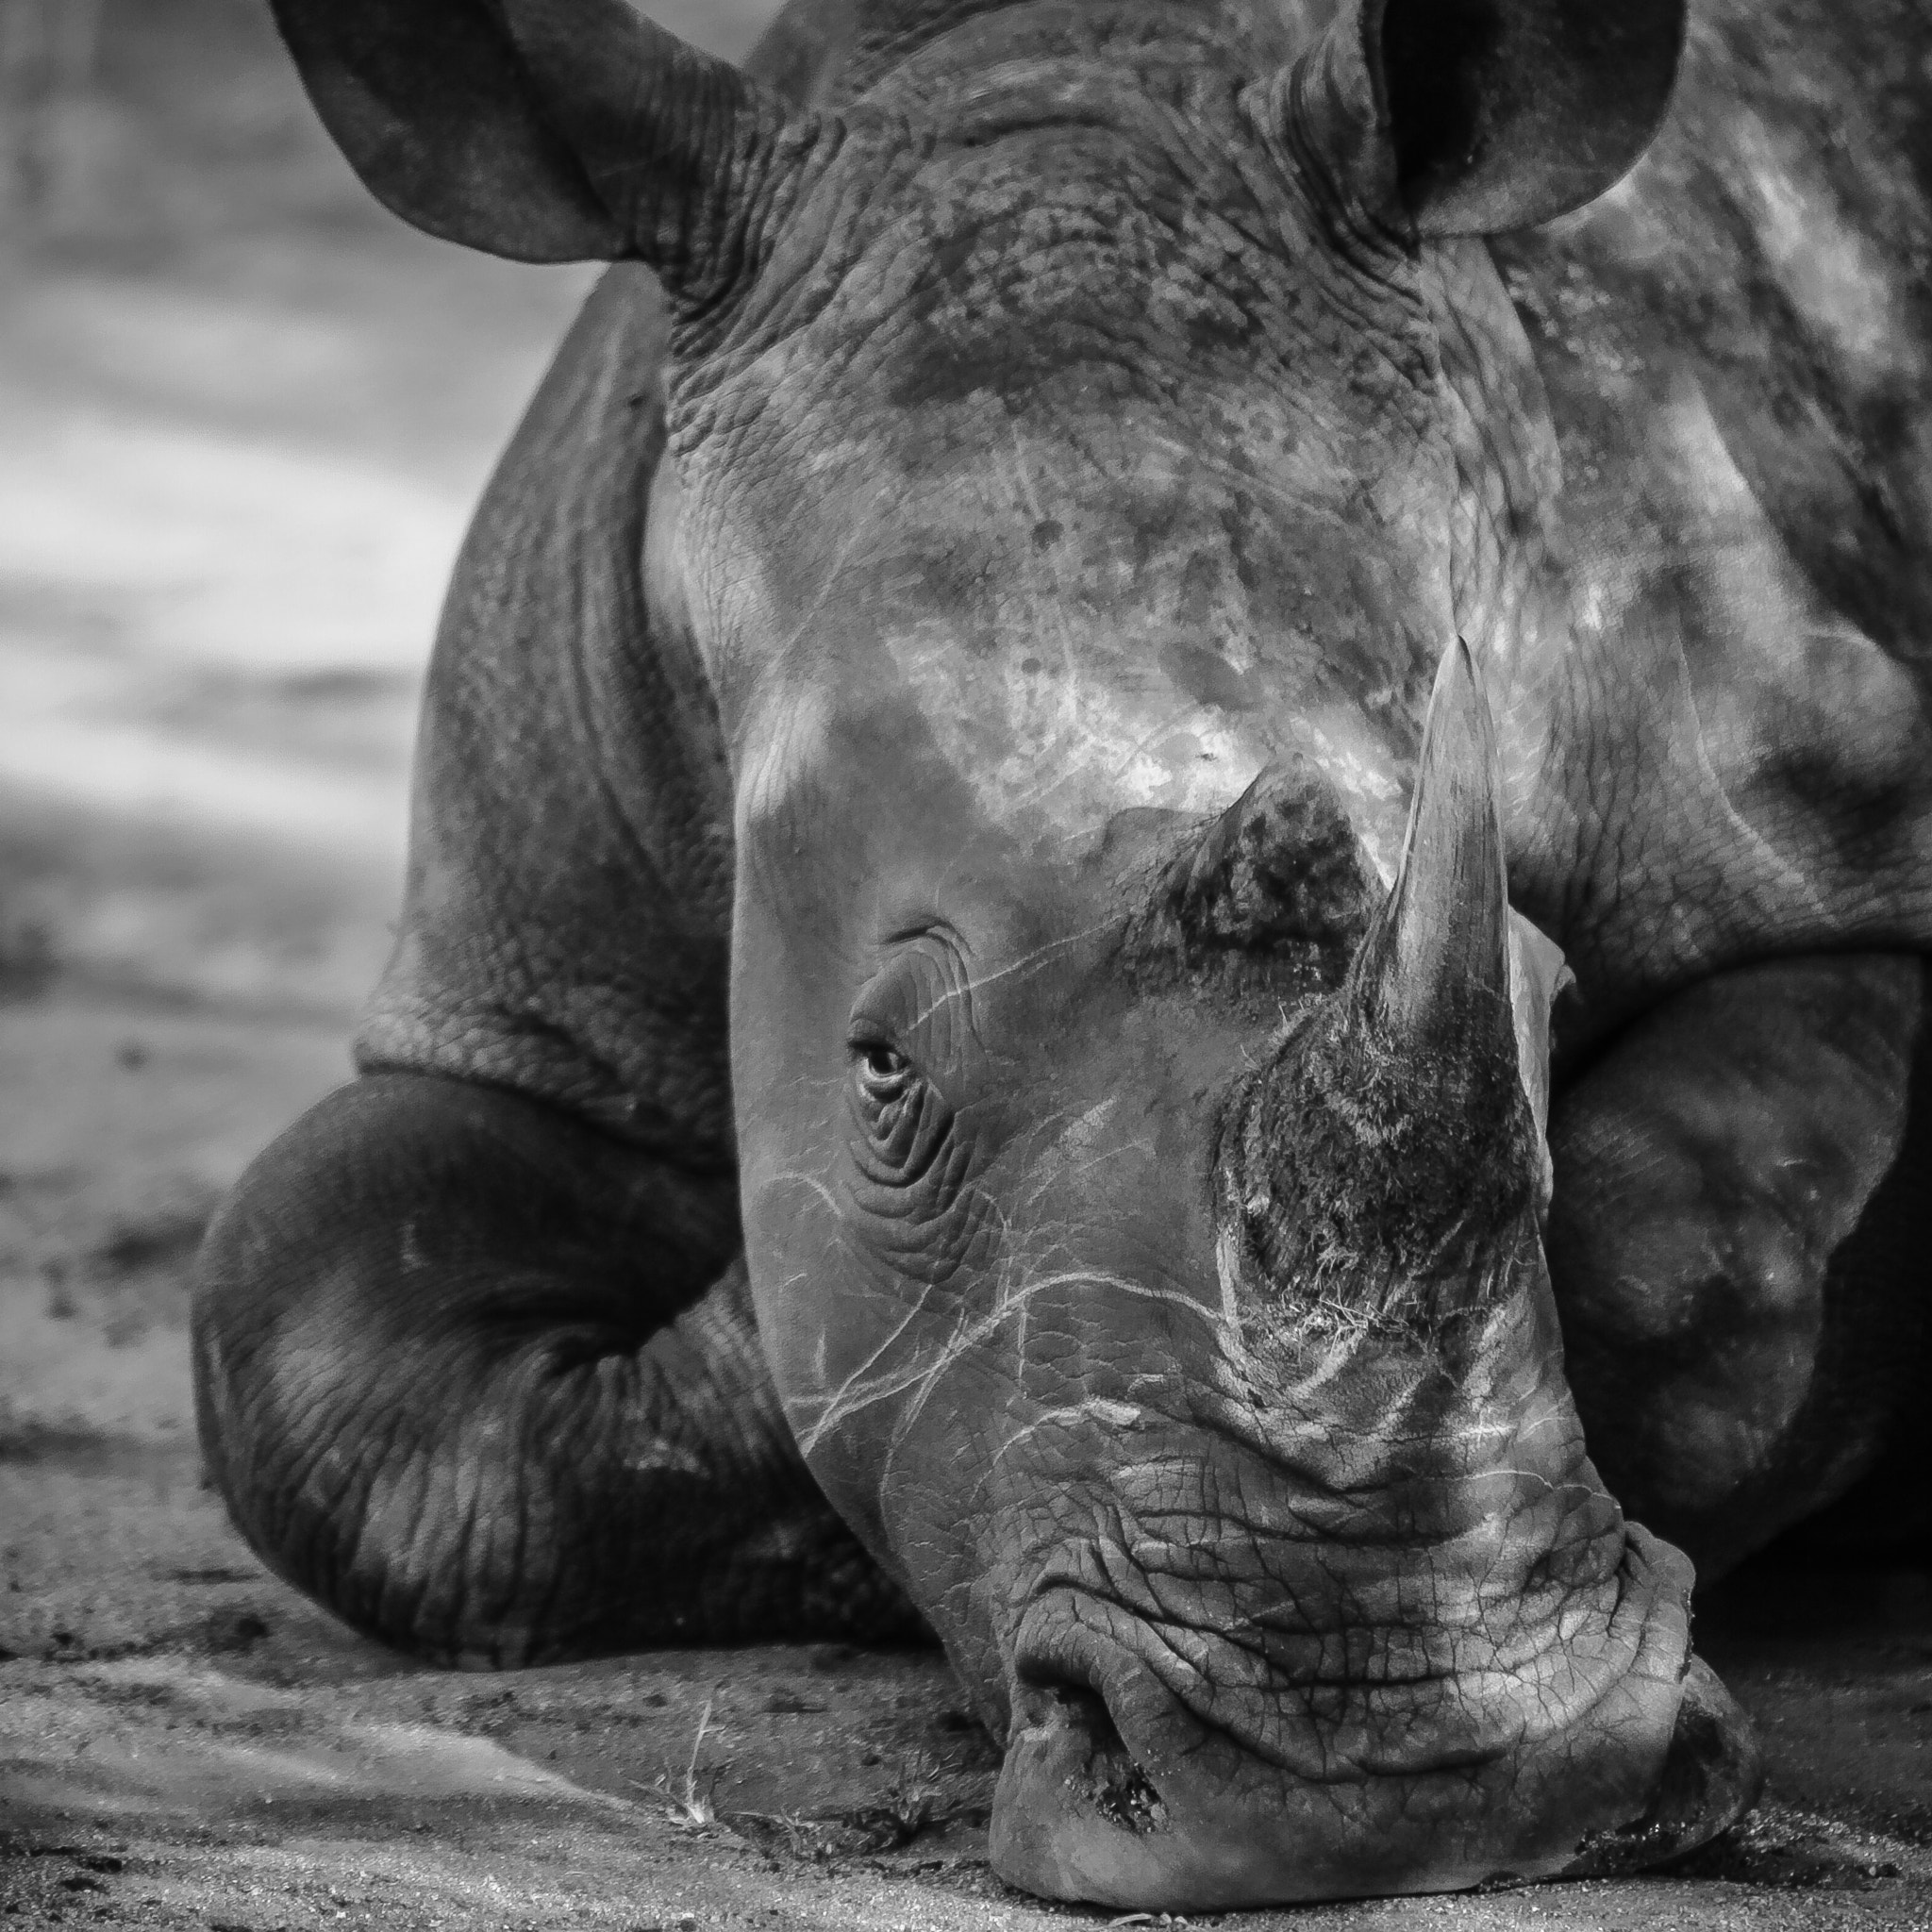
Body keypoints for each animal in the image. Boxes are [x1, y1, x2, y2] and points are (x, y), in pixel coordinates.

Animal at [192, 0, 1932, 1908]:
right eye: (879, 1068)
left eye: (1544, 996)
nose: (1408, 1784)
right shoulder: (522, 982)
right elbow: (300, 1335)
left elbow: (1690, 1257)